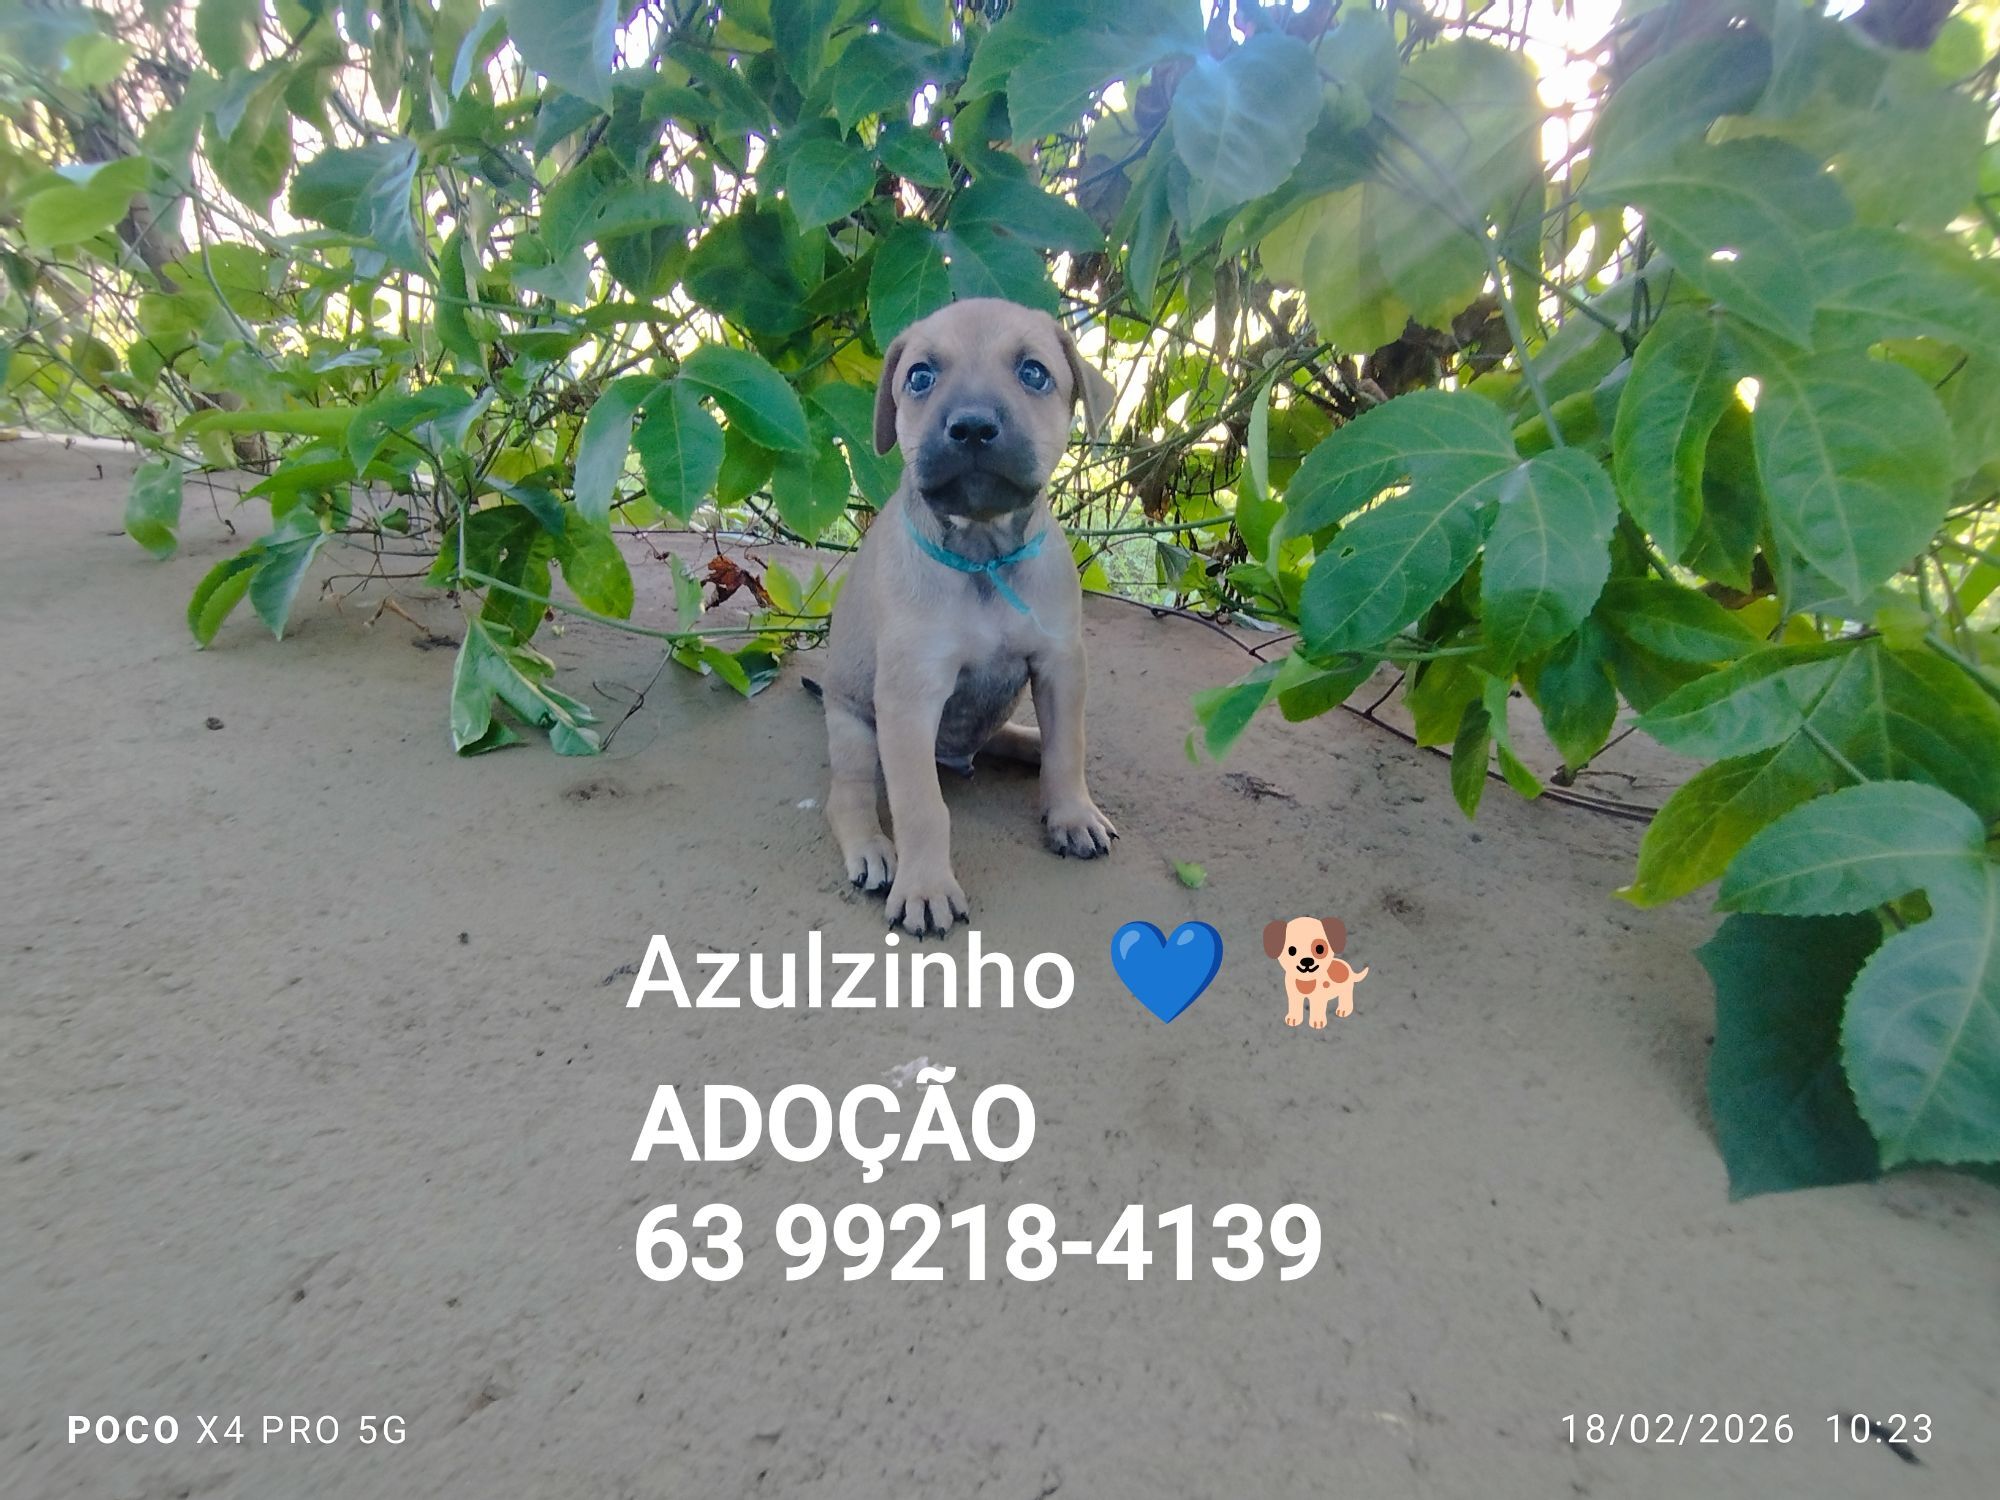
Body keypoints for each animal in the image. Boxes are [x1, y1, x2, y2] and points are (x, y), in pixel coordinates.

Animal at [819, 298, 1120, 936]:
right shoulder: (910, 697)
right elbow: (921, 807)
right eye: (920, 377)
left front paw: (1072, 814)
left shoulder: (1060, 665)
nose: (973, 426)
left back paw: (1030, 747)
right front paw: (925, 887)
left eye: (1033, 373)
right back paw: (872, 849)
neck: (984, 553)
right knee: (849, 795)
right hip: (853, 726)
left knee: (1022, 739)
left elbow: (1068, 748)